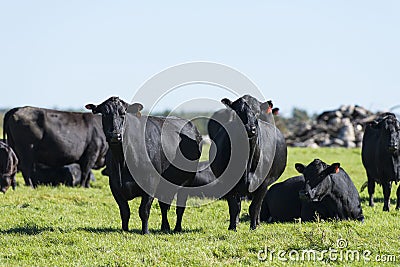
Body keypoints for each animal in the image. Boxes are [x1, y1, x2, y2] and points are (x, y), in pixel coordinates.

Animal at [86, 97, 202, 234]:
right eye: (105, 114)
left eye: (124, 113)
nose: (115, 135)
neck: (122, 161)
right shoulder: (115, 186)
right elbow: (125, 211)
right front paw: (124, 230)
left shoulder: (150, 184)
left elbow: (144, 210)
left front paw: (145, 231)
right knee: (164, 206)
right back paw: (165, 227)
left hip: (187, 182)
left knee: (180, 207)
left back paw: (177, 228)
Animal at [209, 96, 288, 230]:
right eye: (237, 112)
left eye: (257, 112)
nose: (250, 128)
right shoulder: (228, 182)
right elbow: (234, 207)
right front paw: (232, 228)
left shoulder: (263, 184)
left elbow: (254, 207)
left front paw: (253, 227)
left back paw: (258, 223)